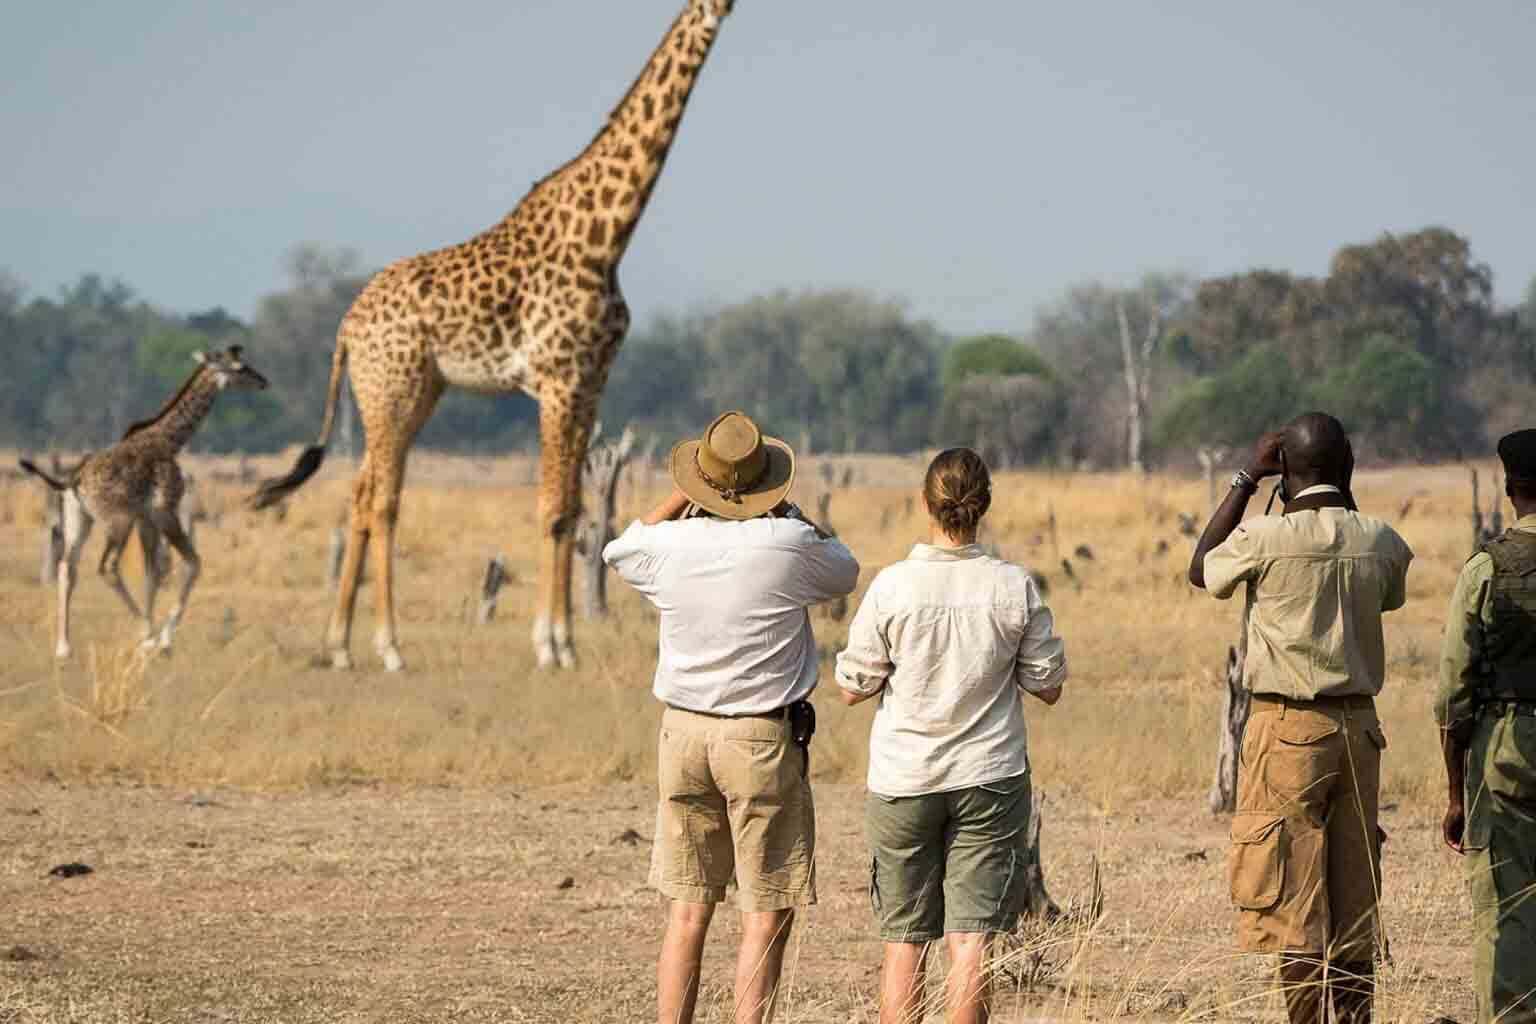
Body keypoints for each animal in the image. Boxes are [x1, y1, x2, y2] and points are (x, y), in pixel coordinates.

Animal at [21, 348, 267, 660]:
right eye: (240, 367)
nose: (263, 381)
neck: (169, 438)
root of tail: (73, 480)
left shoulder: (145, 518)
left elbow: (152, 573)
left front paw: (153, 637)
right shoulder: (164, 511)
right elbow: (192, 563)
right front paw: (161, 640)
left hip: (79, 519)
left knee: (68, 567)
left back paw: (64, 648)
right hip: (117, 520)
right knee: (108, 567)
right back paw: (145, 635)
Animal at [253, 0, 743, 672]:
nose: (724, 11)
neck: (606, 235)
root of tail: (346, 328)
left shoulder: (591, 381)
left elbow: (574, 508)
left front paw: (566, 642)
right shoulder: (558, 379)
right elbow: (552, 509)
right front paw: (549, 645)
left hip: (410, 394)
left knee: (359, 494)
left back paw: (339, 646)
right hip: (391, 391)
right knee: (384, 502)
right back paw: (389, 646)